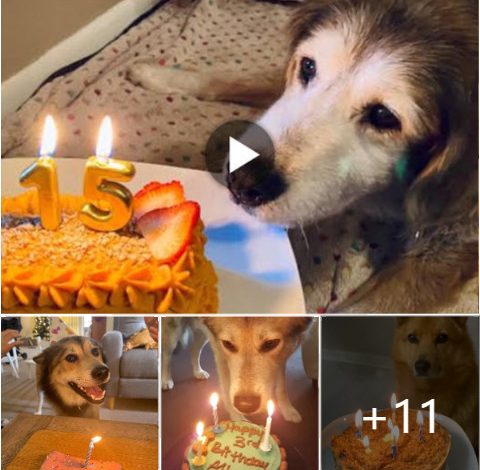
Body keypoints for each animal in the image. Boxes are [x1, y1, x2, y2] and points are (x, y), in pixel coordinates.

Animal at [129, 0, 478, 316]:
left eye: (383, 116)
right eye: (308, 66)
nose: (241, 181)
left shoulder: (448, 247)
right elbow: (247, 79)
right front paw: (160, 75)